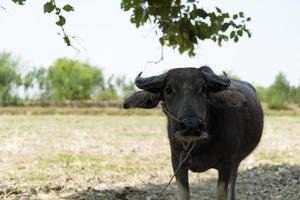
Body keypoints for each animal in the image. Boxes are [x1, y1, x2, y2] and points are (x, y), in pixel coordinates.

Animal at [122, 66, 262, 199]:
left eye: (203, 89)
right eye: (168, 90)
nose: (191, 125)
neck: (200, 147)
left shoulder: (226, 165)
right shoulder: (178, 165)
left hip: (236, 161)